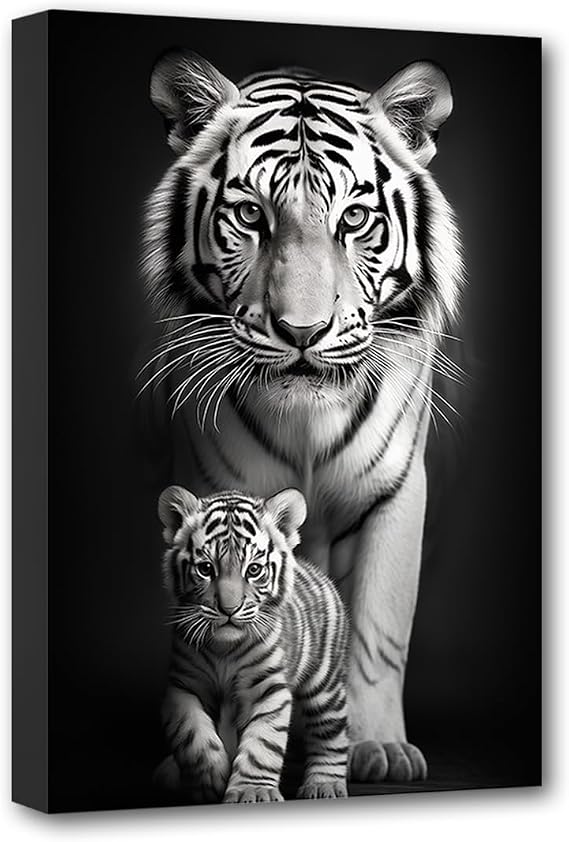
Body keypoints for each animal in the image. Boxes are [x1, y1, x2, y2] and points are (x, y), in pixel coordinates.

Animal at [153, 484, 349, 804]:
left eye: (254, 570)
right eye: (206, 569)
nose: (229, 609)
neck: (223, 649)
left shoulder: (268, 689)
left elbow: (263, 744)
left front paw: (253, 791)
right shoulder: (183, 686)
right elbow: (191, 732)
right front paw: (211, 778)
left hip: (325, 684)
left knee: (330, 732)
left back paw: (324, 785)